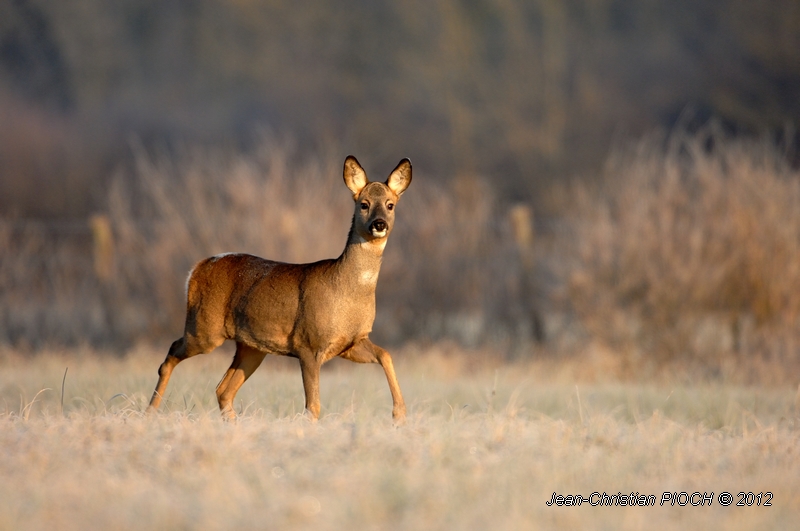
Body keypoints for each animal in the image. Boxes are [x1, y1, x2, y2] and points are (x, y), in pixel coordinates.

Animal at [148, 155, 412, 424]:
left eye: (390, 205)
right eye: (363, 204)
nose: (379, 224)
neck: (347, 291)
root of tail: (198, 267)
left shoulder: (351, 343)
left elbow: (386, 354)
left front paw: (399, 414)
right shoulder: (308, 344)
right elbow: (313, 406)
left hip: (250, 347)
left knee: (222, 389)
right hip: (204, 329)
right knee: (170, 356)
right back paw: (149, 413)